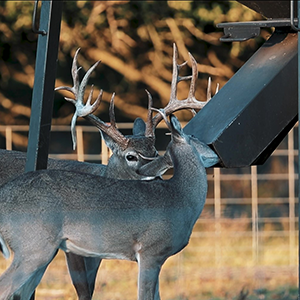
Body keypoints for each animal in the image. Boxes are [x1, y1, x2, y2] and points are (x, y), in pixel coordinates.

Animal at [0, 44, 217, 300]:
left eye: (155, 150)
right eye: (195, 137)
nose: (215, 153)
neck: (182, 198)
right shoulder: (150, 250)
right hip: (33, 245)